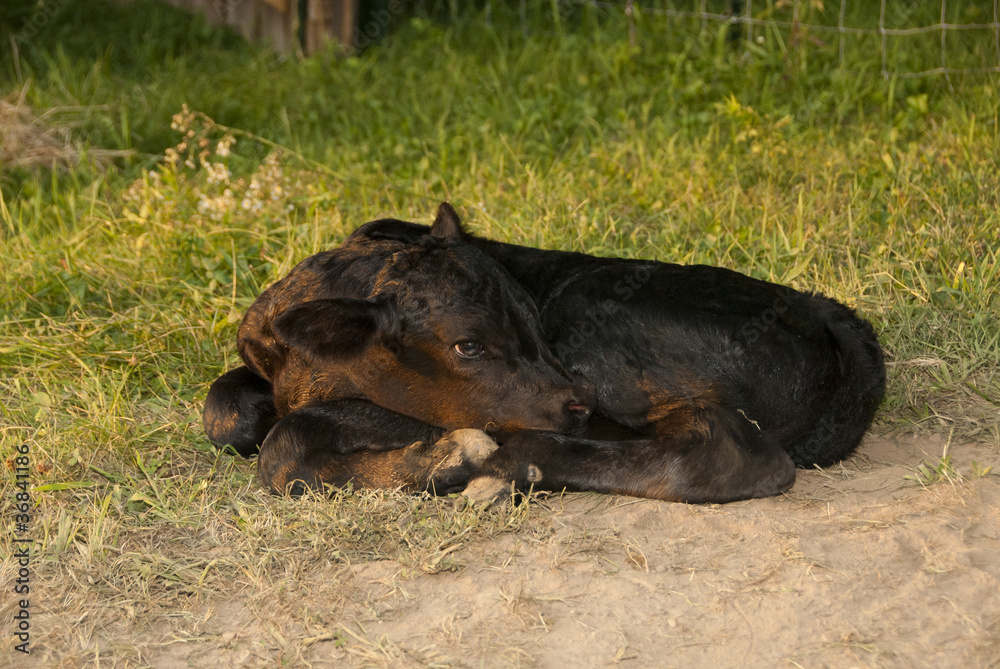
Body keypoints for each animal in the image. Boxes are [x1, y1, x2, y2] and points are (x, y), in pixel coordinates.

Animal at [203, 203, 885, 503]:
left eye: (531, 320)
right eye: (467, 345)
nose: (577, 406)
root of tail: (825, 310)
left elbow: (288, 441)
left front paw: (448, 459)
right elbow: (223, 412)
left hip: (592, 311)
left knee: (727, 452)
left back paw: (513, 464)